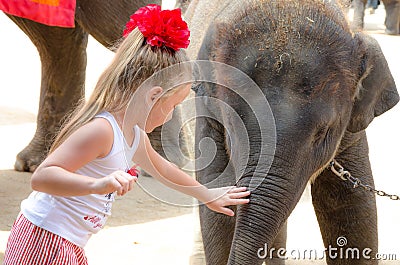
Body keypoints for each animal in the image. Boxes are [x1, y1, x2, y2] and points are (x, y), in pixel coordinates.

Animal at [185, 0, 400, 264]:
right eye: (234, 126)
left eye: (323, 133)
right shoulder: (206, 110)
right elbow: (218, 194)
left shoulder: (352, 128)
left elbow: (350, 204)